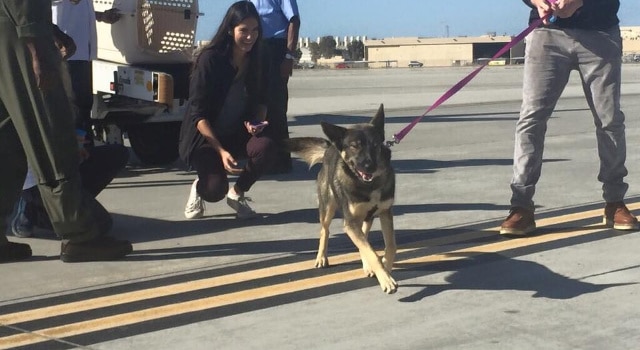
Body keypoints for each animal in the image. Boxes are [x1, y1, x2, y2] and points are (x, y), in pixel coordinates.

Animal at [284, 104, 396, 292]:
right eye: (354, 146)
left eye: (375, 144)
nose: (369, 166)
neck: (369, 185)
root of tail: (331, 146)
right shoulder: (350, 222)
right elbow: (372, 252)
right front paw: (386, 279)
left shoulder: (385, 213)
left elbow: (389, 246)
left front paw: (386, 268)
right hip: (328, 207)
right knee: (325, 230)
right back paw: (321, 257)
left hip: (365, 218)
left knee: (364, 235)